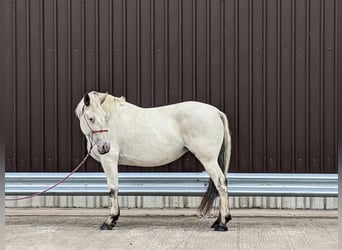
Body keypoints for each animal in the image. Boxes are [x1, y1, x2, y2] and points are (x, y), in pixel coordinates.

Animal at [75, 91, 232, 231]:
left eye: (104, 117)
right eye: (91, 118)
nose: (105, 147)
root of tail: (216, 112)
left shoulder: (109, 160)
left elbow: (113, 189)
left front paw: (110, 220)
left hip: (209, 160)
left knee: (220, 184)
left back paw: (222, 223)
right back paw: (219, 221)